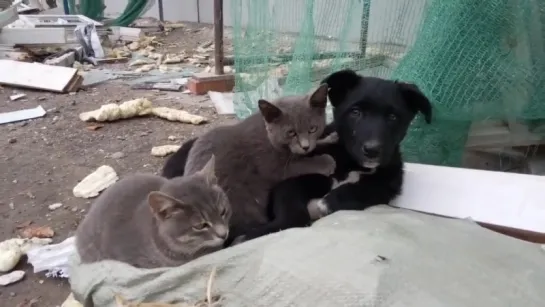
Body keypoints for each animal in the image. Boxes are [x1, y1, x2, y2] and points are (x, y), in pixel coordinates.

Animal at [184, 83, 336, 229]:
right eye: (291, 133)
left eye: (313, 129)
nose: (305, 146)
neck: (268, 134)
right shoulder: (270, 164)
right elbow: (299, 165)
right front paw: (326, 162)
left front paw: (330, 138)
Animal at [236, 69, 432, 243]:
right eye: (355, 112)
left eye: (393, 117)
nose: (372, 150)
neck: (351, 163)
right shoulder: (295, 177)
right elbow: (292, 211)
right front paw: (253, 235)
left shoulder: (389, 183)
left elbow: (363, 189)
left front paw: (328, 202)